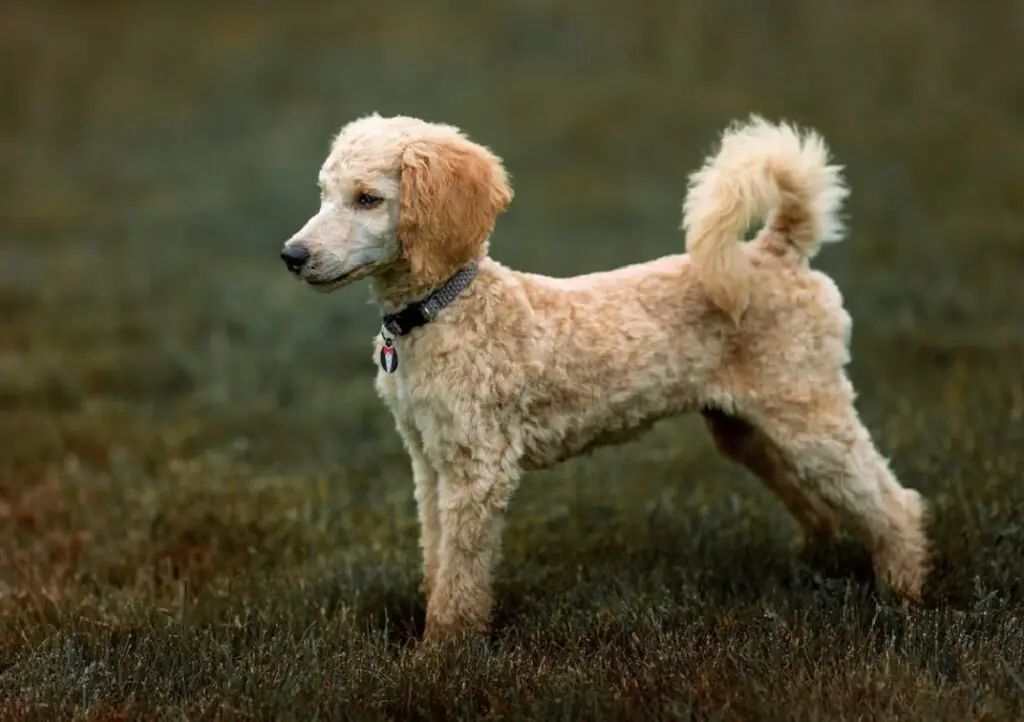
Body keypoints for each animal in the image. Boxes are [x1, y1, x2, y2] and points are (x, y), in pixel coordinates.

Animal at [278, 112, 929, 643]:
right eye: (324, 194)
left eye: (368, 198)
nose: (291, 255)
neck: (445, 309)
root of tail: (776, 251)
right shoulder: (429, 460)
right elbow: (438, 558)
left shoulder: (477, 467)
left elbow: (460, 576)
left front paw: (440, 655)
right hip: (747, 429)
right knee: (823, 502)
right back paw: (820, 560)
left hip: (806, 411)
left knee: (893, 502)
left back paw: (904, 596)